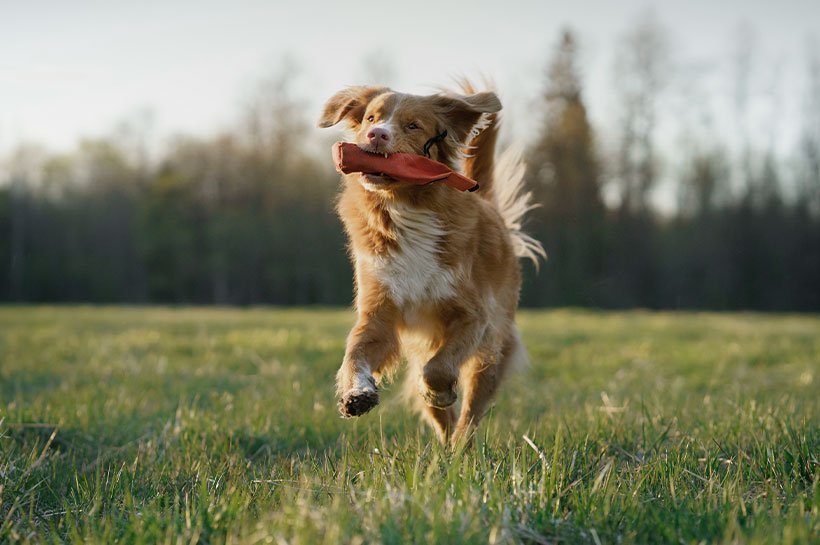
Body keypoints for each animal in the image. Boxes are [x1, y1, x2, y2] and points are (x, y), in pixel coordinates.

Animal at [318, 82, 544, 446]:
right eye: (371, 118)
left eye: (413, 126)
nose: (376, 135)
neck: (405, 206)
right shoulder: (379, 310)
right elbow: (356, 351)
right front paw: (356, 392)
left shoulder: (473, 316)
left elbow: (438, 370)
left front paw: (439, 391)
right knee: (441, 414)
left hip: (492, 348)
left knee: (471, 409)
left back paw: (461, 445)